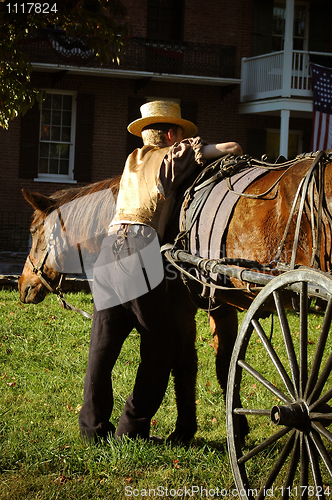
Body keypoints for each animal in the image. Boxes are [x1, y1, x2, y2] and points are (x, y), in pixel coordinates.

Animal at [17, 150, 332, 444]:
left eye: (33, 231)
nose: (24, 286)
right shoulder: (218, 303)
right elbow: (225, 365)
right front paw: (238, 428)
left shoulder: (179, 305)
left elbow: (183, 362)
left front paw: (184, 430)